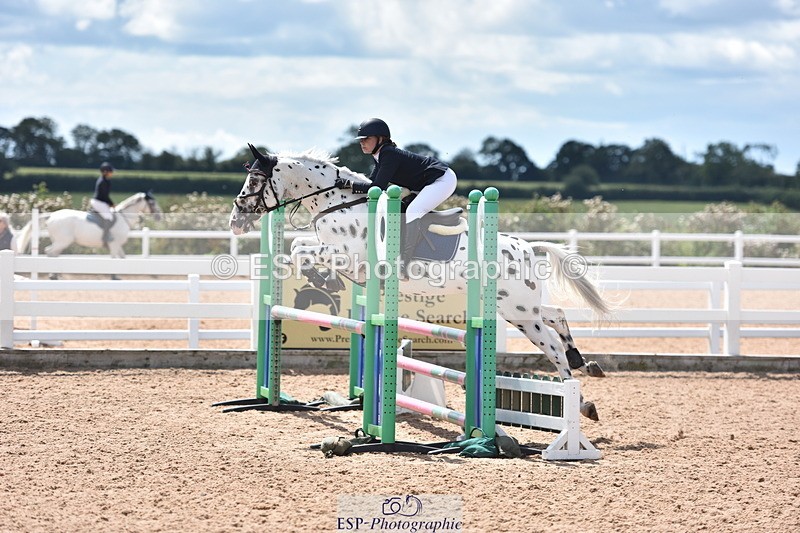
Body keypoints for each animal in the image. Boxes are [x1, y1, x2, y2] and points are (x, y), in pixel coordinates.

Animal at [16, 192, 162, 259]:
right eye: (152, 203)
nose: (159, 216)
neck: (124, 217)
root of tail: (51, 215)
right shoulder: (114, 244)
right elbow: (115, 258)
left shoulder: (118, 245)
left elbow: (122, 258)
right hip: (63, 241)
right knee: (50, 252)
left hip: (60, 242)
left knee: (53, 253)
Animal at [230, 144, 613, 420]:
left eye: (255, 182)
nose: (235, 220)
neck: (339, 203)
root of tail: (528, 247)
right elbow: (300, 247)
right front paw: (318, 276)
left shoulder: (349, 256)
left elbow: (299, 250)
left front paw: (316, 275)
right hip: (517, 305)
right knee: (557, 315)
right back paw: (584, 365)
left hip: (519, 311)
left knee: (551, 344)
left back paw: (579, 402)